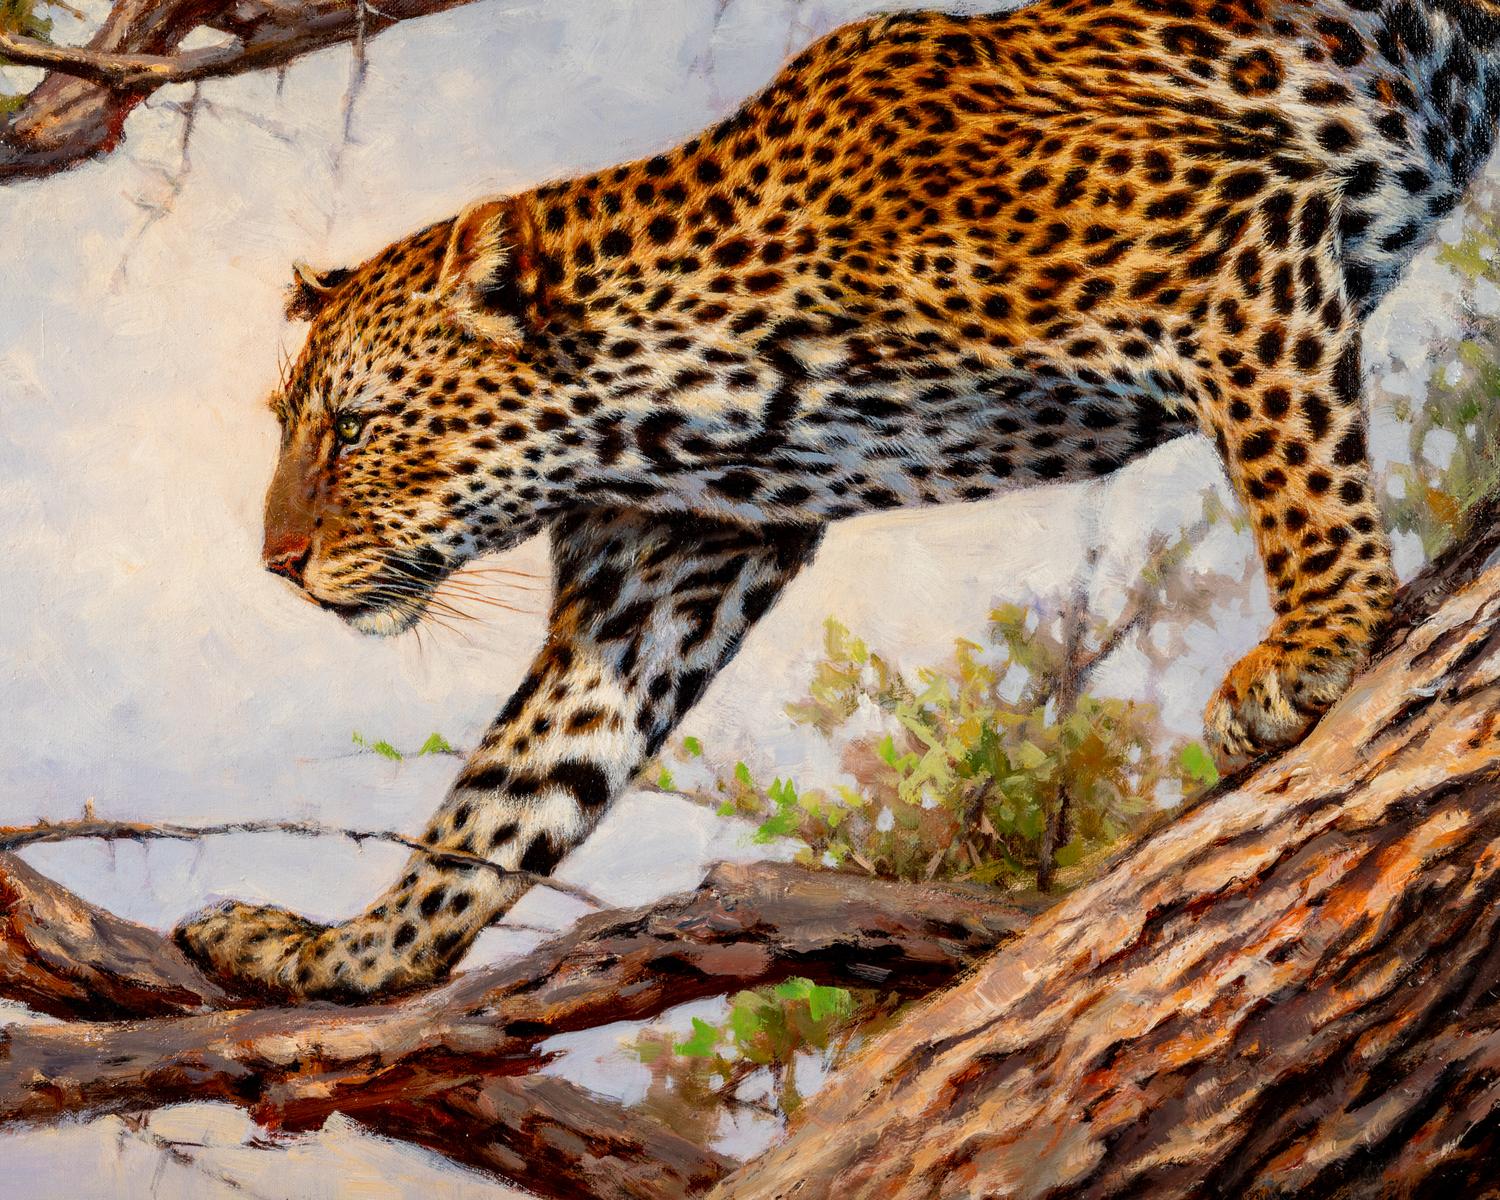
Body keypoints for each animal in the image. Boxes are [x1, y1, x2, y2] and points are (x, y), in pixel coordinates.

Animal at [176, 0, 1500, 1002]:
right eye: (291, 425)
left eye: (355, 426)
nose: (276, 563)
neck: (655, 412)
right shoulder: (660, 576)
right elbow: (509, 795)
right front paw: (344, 954)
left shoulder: (1220, 238)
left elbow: (1293, 467)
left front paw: (1316, 642)